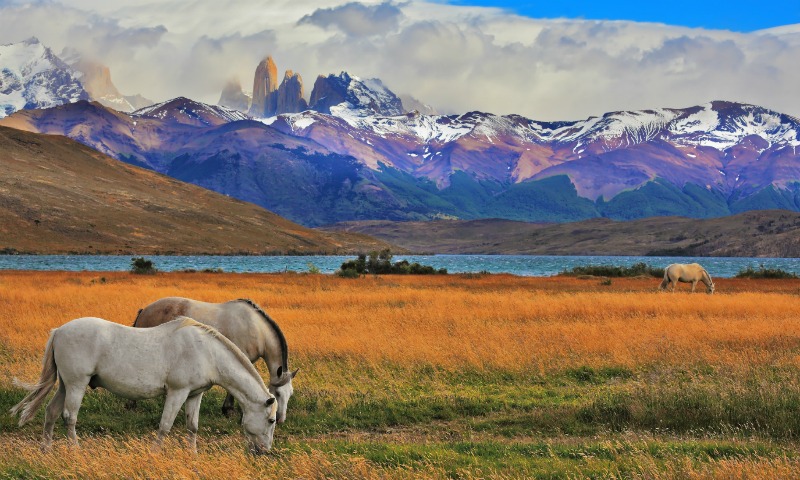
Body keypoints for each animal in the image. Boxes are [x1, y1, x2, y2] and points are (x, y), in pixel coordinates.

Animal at [7, 316, 278, 452]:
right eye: (272, 420)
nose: (264, 451)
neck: (207, 352)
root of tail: (59, 331)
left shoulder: (194, 395)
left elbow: (192, 427)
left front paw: (193, 456)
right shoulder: (177, 392)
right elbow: (165, 426)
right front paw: (155, 454)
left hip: (65, 384)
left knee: (51, 412)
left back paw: (46, 450)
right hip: (76, 384)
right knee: (69, 416)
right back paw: (75, 451)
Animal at [136, 296, 298, 424]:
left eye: (290, 394)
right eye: (277, 393)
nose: (280, 419)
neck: (256, 328)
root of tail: (144, 310)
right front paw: (230, 411)